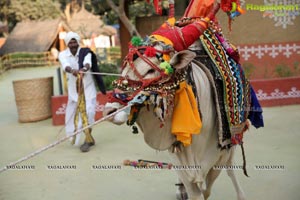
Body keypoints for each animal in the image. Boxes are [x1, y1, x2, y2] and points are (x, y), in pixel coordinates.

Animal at [103, 0, 262, 200]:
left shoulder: (218, 155)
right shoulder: (179, 159)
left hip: (232, 143)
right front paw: (183, 189)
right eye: (123, 69)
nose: (109, 111)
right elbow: (195, 191)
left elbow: (207, 189)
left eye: (150, 70)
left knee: (231, 169)